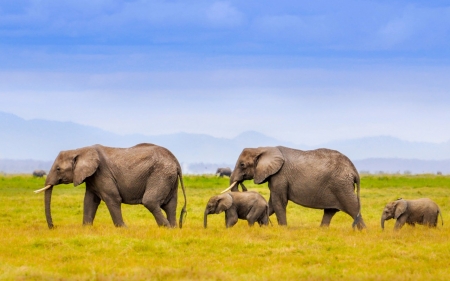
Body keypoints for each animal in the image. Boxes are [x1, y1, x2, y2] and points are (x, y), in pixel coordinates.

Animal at [34, 143, 187, 229]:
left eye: (58, 169)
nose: (53, 227)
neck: (80, 150)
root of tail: (176, 162)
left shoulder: (102, 173)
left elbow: (112, 198)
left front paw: (123, 229)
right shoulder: (93, 177)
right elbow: (90, 201)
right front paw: (86, 229)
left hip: (160, 174)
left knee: (150, 201)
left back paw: (166, 227)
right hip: (169, 178)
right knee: (170, 205)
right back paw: (173, 228)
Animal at [221, 145, 366, 229]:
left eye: (242, 165)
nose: (241, 185)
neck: (263, 148)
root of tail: (354, 170)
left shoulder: (280, 176)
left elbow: (278, 201)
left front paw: (283, 229)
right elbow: (271, 203)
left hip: (341, 186)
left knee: (353, 208)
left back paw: (363, 231)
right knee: (330, 211)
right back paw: (322, 230)